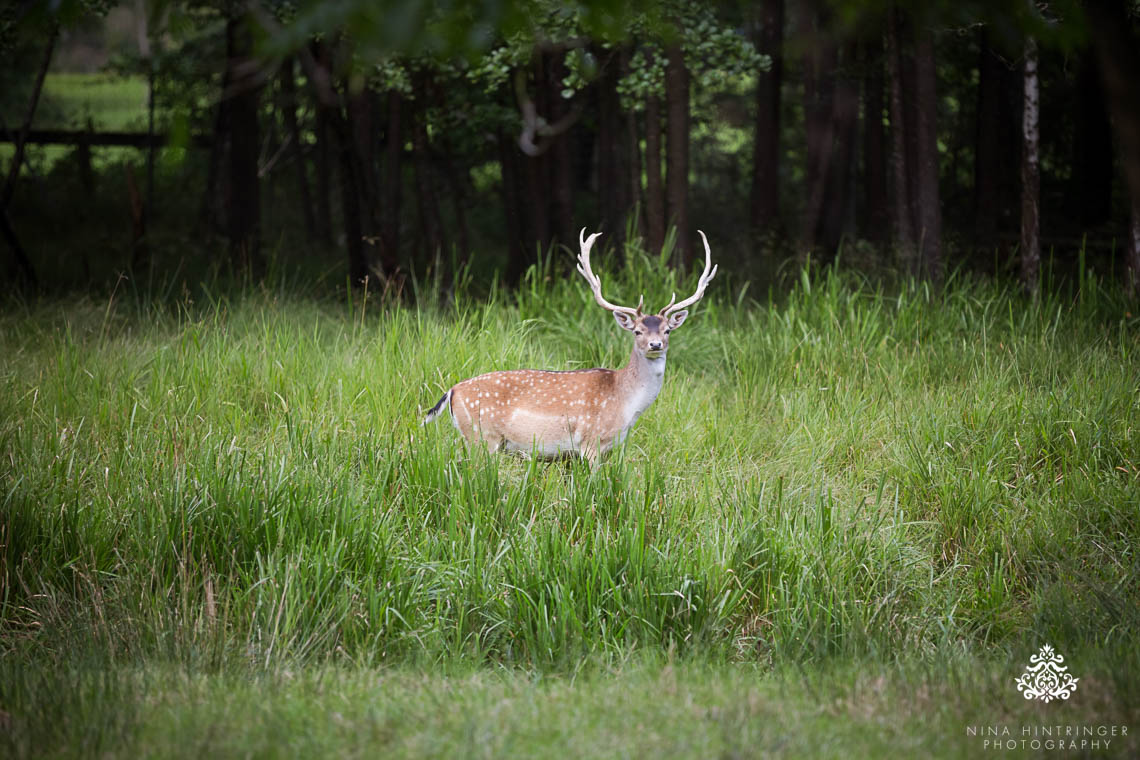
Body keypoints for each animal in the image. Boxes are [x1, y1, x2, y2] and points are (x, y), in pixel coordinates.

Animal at [424, 227, 715, 464]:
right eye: (637, 331)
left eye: (667, 330)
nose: (655, 344)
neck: (626, 405)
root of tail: (451, 391)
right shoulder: (590, 442)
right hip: (482, 437)